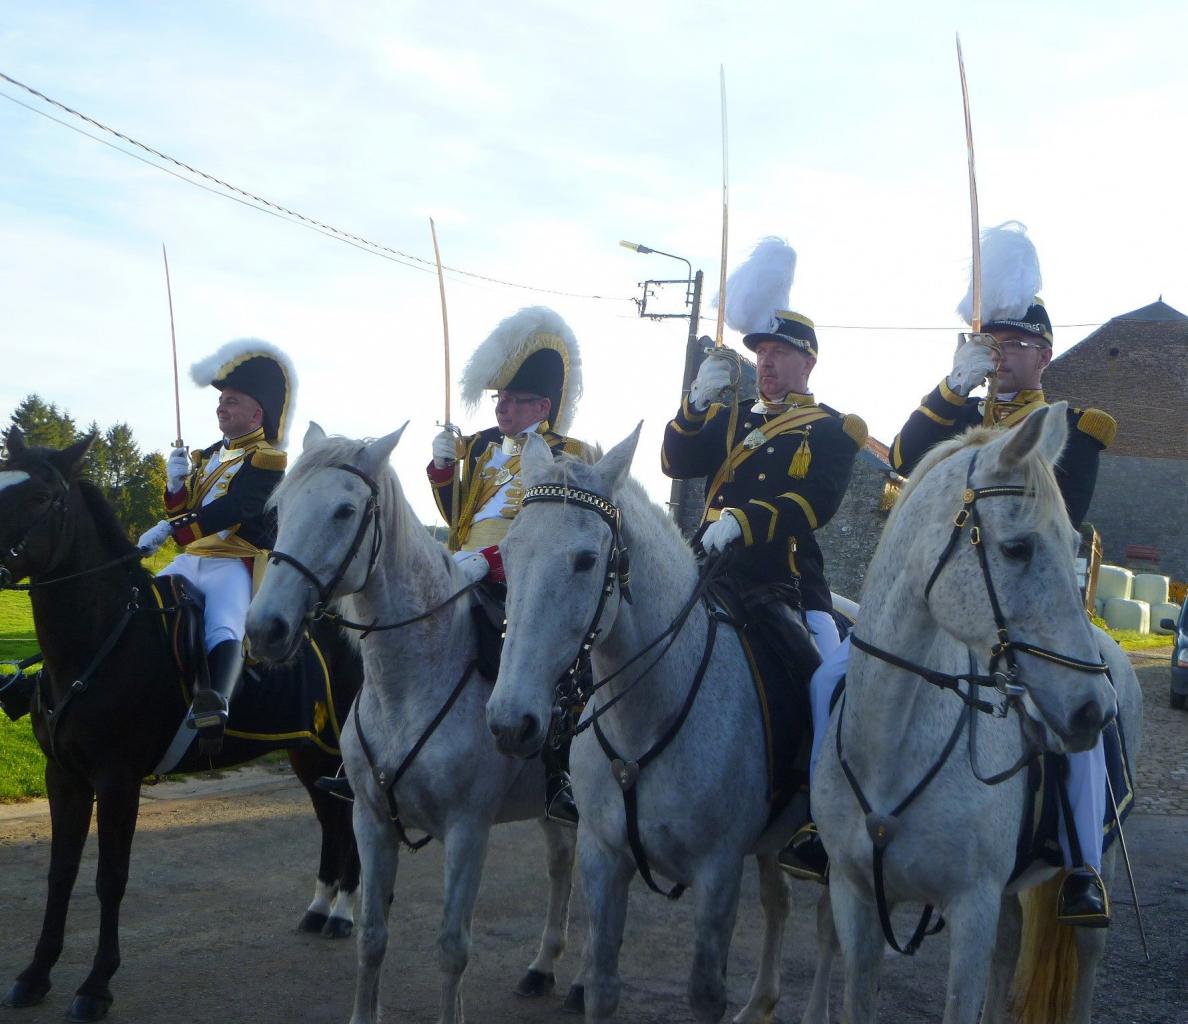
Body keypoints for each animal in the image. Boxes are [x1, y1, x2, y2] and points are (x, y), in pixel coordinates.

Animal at [0, 428, 363, 1023]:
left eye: (41, 496)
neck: (98, 639)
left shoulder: (117, 780)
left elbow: (110, 879)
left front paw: (96, 985)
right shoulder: (64, 777)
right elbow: (60, 874)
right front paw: (35, 974)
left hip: (339, 752)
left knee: (350, 820)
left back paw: (344, 914)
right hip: (307, 753)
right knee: (330, 820)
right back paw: (319, 908)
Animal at [244, 422, 581, 1024]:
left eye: (345, 510)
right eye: (279, 509)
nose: (264, 629)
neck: (410, 683)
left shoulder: (468, 831)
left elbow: (452, 948)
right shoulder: (371, 819)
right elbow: (372, 936)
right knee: (561, 861)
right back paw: (542, 967)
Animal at [486, 425, 836, 1024]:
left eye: (586, 560)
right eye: (508, 552)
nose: (511, 722)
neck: (645, 718)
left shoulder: (719, 873)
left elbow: (705, 993)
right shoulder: (603, 856)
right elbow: (602, 985)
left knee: (832, 933)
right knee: (779, 903)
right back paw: (759, 1005)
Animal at [813, 404, 1143, 1024]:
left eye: (1072, 543)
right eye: (1017, 549)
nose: (1094, 711)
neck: (892, 747)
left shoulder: (971, 909)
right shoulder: (853, 898)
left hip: (1097, 870)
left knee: (1086, 959)